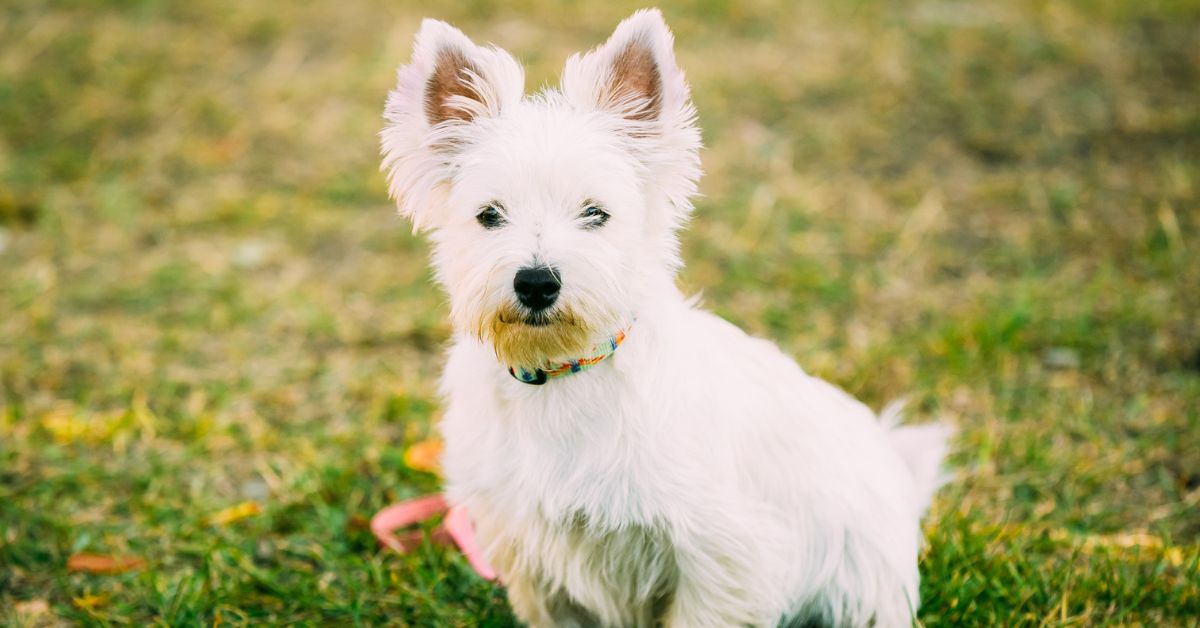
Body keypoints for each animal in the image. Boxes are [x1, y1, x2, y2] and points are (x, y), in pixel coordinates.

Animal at [379, 8, 950, 624]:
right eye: (489, 215)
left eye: (596, 213)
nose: (536, 283)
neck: (564, 373)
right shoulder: (529, 552)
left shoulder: (722, 552)